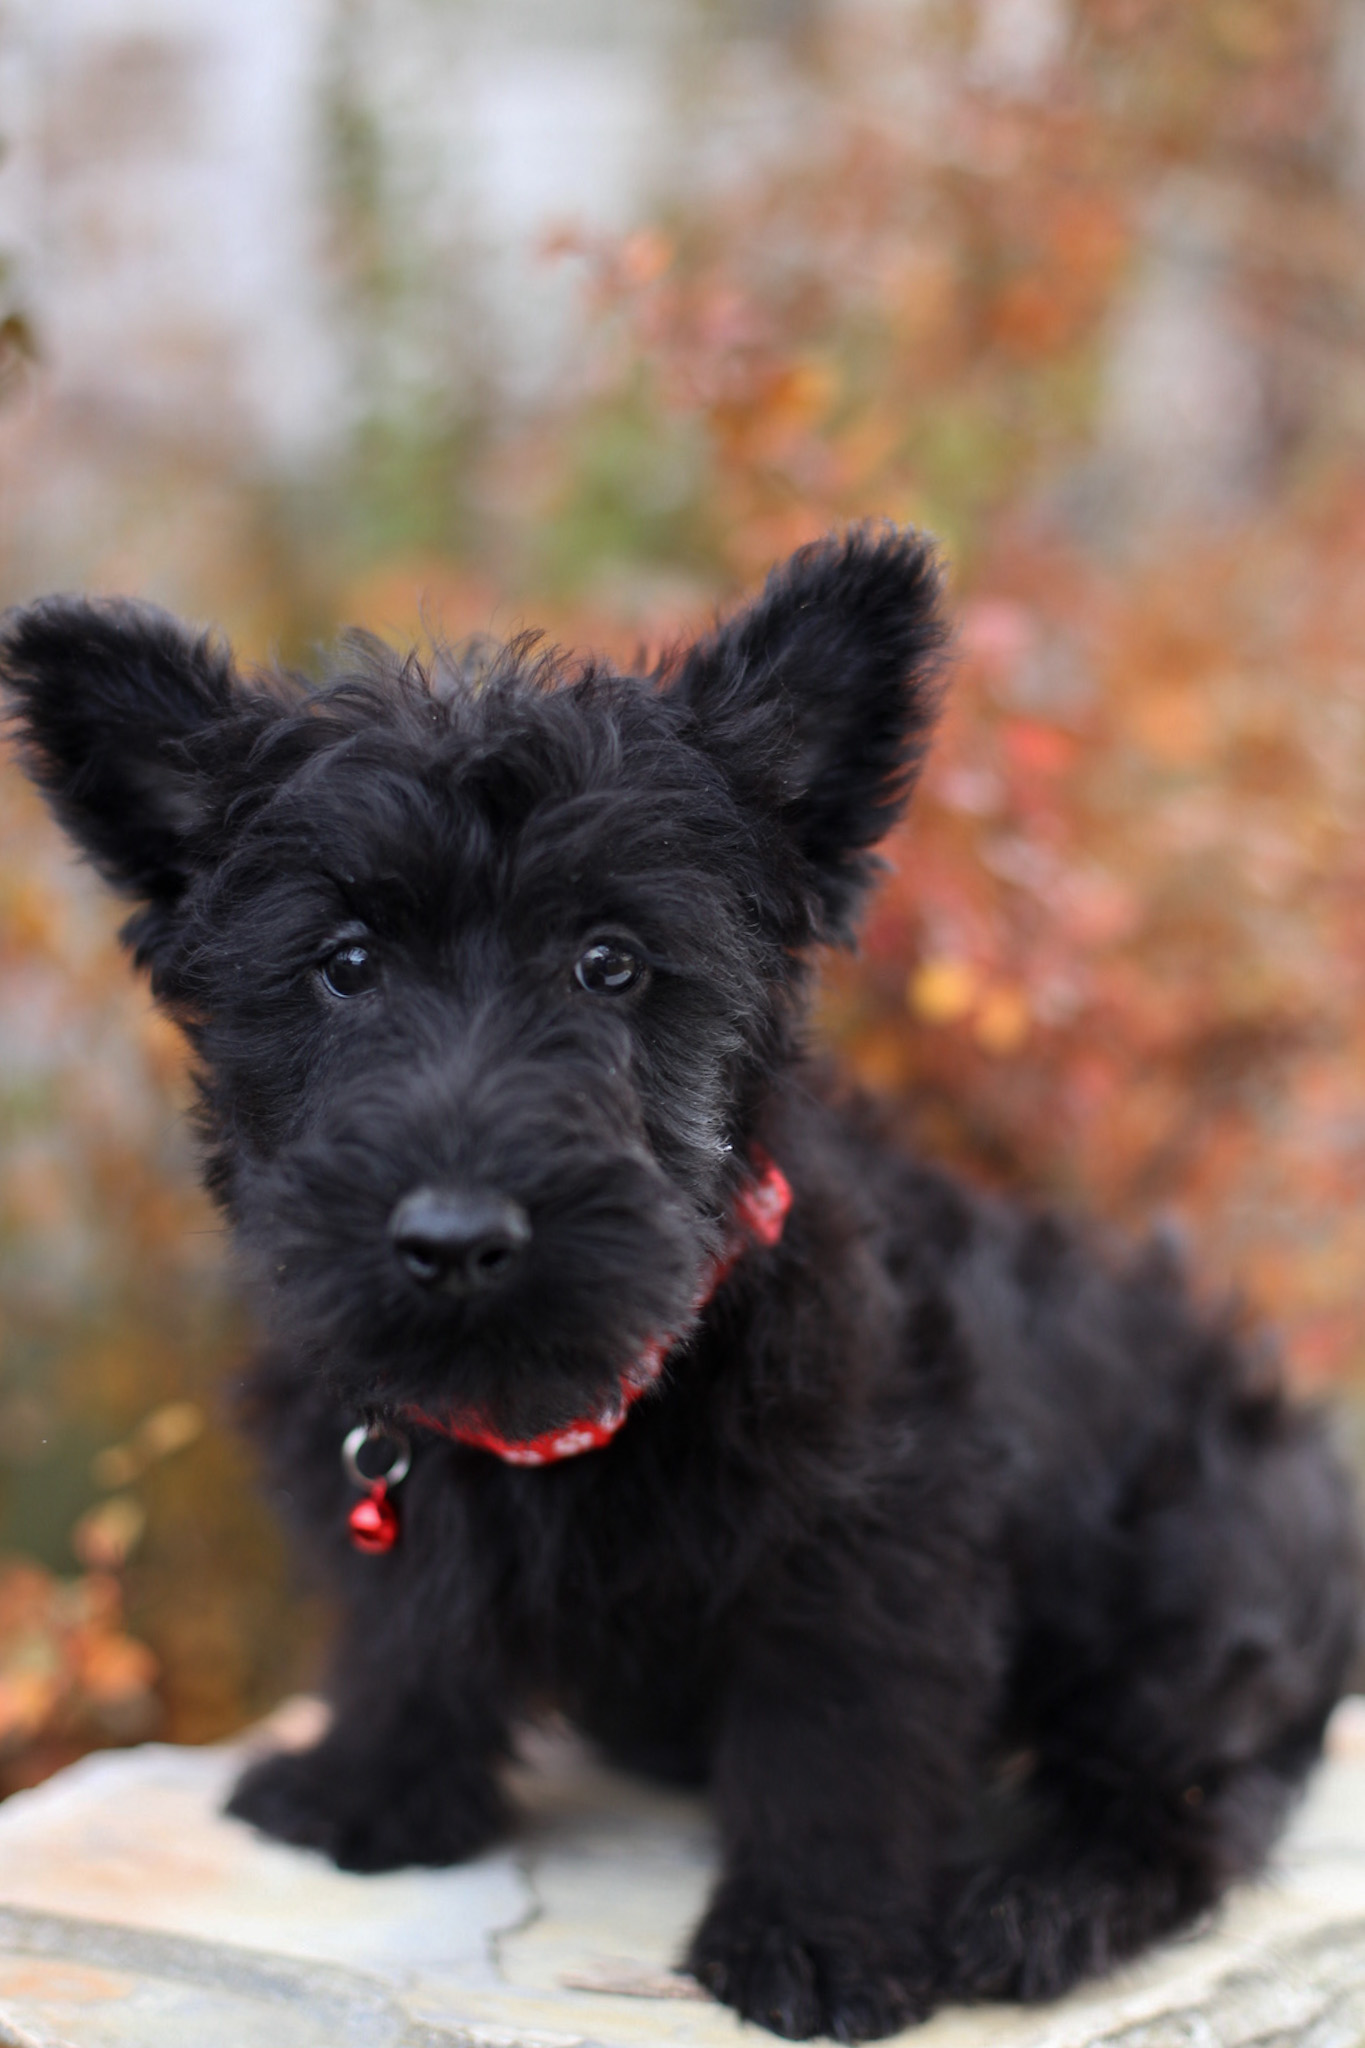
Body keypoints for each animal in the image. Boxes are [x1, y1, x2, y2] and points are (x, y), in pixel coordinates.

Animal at [5, 532, 1358, 2048]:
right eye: (344, 963)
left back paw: (1038, 1902)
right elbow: (407, 1633)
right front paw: (372, 1789)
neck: (577, 1401)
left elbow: (833, 1744)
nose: (454, 1237)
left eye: (612, 961)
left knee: (1194, 1793)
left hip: (1197, 1567)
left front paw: (815, 1939)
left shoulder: (871, 1549)